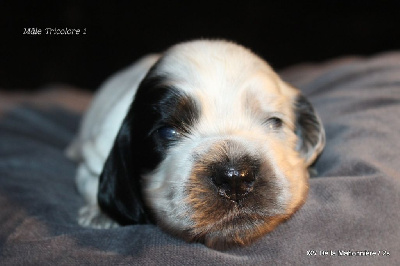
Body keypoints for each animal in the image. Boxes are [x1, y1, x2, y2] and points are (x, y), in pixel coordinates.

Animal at [68, 40, 324, 249]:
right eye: (167, 131)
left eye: (274, 121)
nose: (235, 178)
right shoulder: (94, 152)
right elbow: (90, 180)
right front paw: (100, 214)